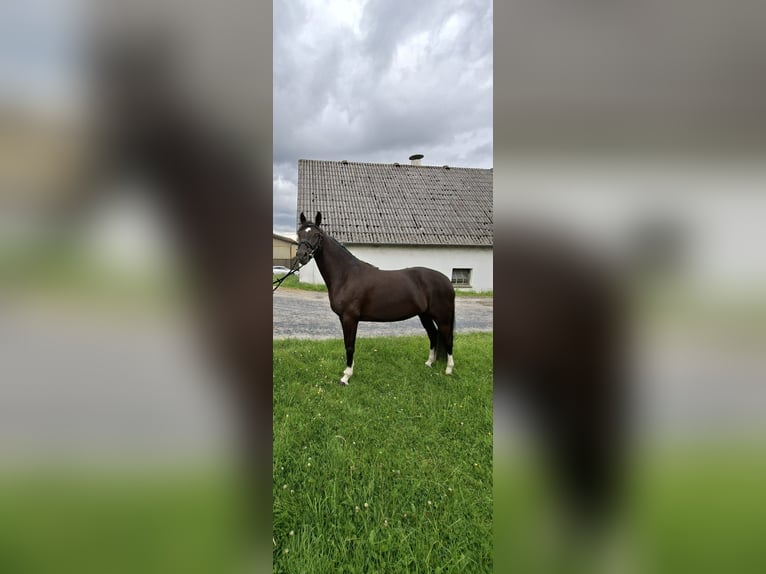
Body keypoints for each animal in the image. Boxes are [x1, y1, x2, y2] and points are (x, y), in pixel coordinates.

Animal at [295, 212, 456, 385]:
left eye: (317, 235)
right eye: (299, 233)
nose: (301, 256)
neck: (346, 275)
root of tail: (447, 281)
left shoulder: (350, 318)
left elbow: (349, 346)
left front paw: (346, 377)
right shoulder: (344, 318)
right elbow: (348, 344)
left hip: (442, 318)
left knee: (447, 339)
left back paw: (448, 370)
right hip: (424, 315)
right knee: (433, 334)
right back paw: (429, 363)